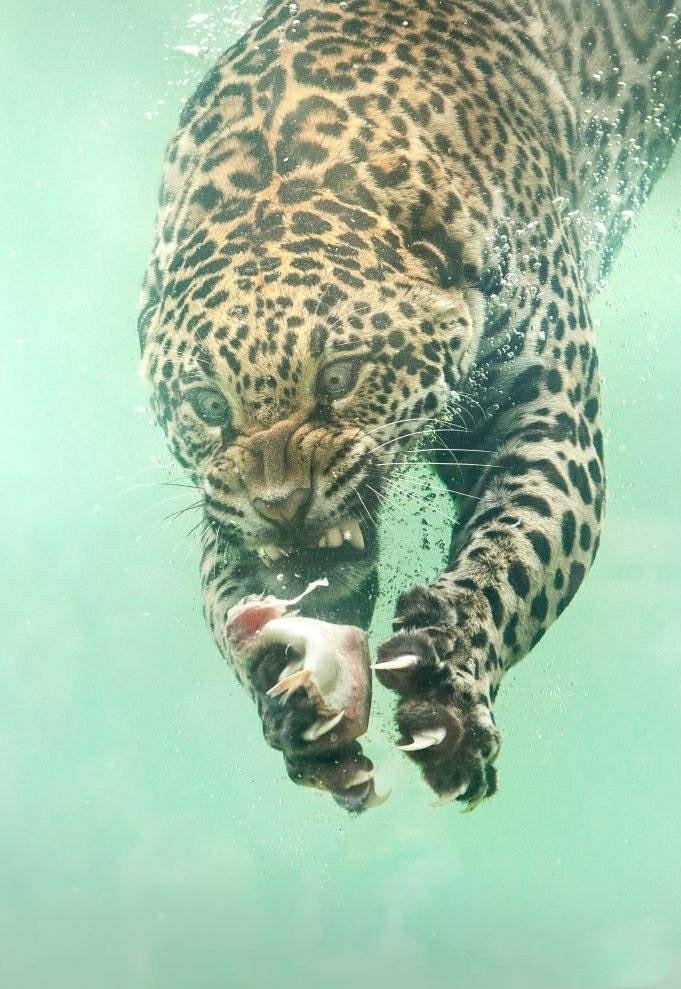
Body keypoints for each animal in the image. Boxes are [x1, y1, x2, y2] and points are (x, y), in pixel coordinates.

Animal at [138, 0, 681, 813]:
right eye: (207, 404)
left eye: (338, 379)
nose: (281, 504)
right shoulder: (222, 502)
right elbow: (231, 593)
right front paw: (290, 696)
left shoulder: (549, 414)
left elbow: (519, 551)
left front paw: (447, 679)